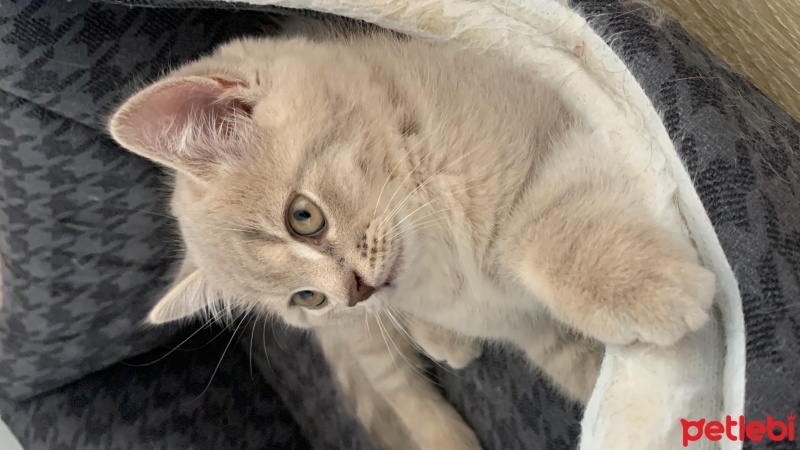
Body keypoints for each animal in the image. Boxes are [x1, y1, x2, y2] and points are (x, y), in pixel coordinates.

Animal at [106, 22, 712, 450]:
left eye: (304, 216)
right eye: (308, 298)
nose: (356, 292)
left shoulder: (538, 132)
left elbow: (542, 233)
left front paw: (636, 288)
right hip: (365, 339)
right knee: (395, 384)